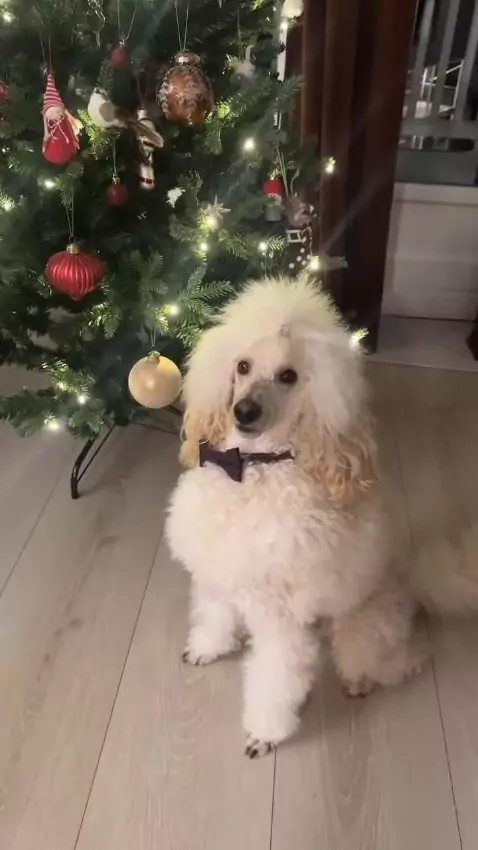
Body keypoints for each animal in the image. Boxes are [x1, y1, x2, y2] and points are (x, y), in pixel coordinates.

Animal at [166, 275, 478, 758]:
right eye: (242, 367)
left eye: (289, 377)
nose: (244, 411)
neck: (252, 470)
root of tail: (409, 585)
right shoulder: (220, 571)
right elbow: (215, 614)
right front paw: (208, 648)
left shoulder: (282, 618)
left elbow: (275, 677)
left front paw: (265, 733)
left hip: (361, 630)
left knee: (401, 662)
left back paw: (362, 681)